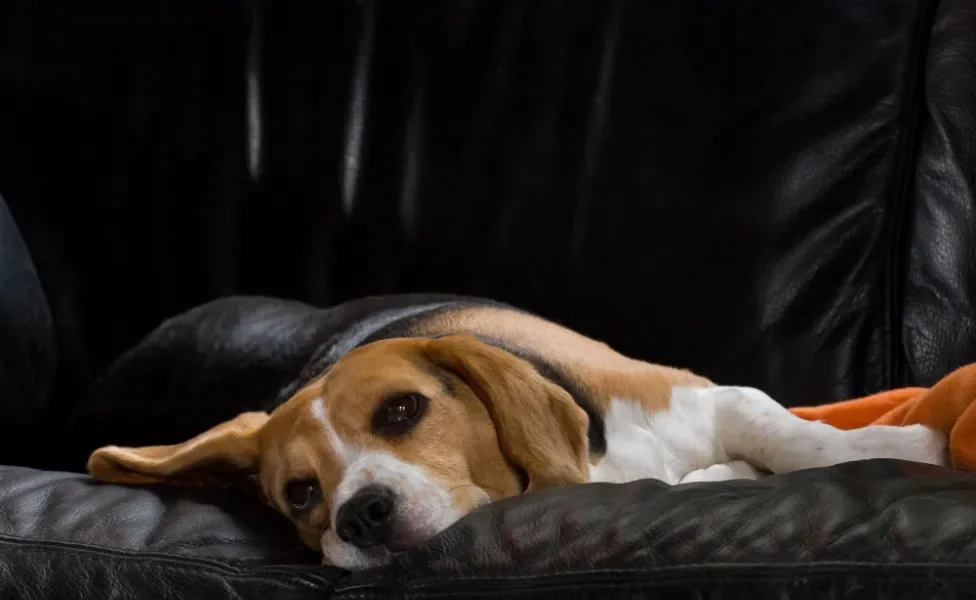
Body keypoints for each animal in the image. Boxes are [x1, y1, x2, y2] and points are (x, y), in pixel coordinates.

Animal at [87, 296, 948, 572]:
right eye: (299, 494)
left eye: (401, 411)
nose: (359, 516)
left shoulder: (702, 396)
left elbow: (784, 433)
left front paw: (905, 446)